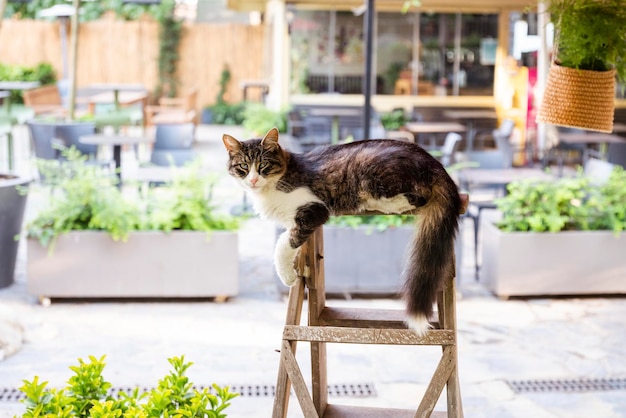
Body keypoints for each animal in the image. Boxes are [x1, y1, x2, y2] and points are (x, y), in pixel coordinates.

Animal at [222, 127, 460, 336]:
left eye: (263, 165)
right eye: (243, 166)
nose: (253, 180)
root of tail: (436, 163)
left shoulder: (314, 210)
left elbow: (284, 242)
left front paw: (287, 276)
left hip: (372, 174)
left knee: (417, 198)